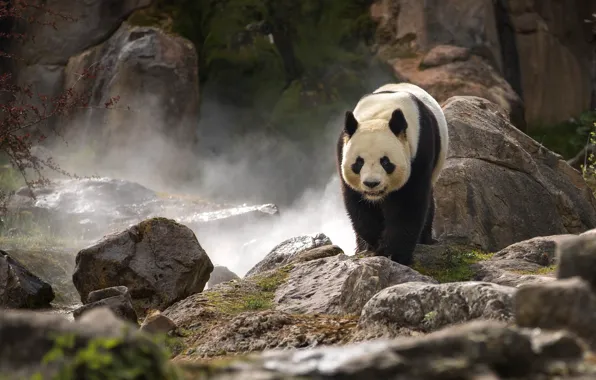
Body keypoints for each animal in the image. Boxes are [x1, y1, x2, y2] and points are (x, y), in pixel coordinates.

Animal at [336, 82, 448, 268]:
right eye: (358, 162)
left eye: (386, 162)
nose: (371, 183)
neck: (379, 114)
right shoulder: (343, 151)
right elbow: (359, 205)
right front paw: (376, 243)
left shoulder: (419, 152)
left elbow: (407, 204)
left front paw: (393, 253)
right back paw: (361, 248)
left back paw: (425, 239)